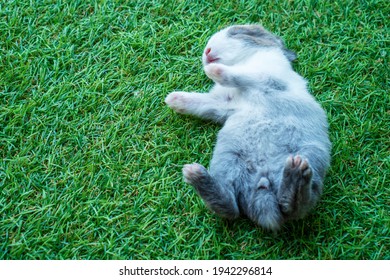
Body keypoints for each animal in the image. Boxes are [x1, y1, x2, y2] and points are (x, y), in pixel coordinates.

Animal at [164, 25, 330, 231]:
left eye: (237, 33)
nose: (207, 52)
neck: (246, 59)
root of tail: (264, 196)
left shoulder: (267, 79)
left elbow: (239, 76)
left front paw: (213, 70)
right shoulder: (223, 103)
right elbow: (201, 103)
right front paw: (173, 99)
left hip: (311, 155)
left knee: (295, 206)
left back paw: (297, 172)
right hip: (228, 159)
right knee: (231, 207)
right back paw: (196, 175)